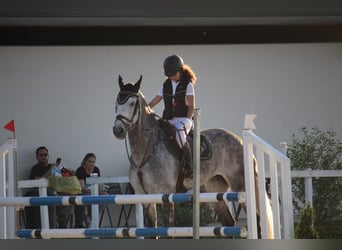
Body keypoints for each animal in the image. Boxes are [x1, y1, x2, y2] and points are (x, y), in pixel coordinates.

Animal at [113, 75, 274, 239]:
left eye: (132, 103)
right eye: (116, 103)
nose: (117, 130)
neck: (146, 149)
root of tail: (239, 139)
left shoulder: (166, 195)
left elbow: (169, 230)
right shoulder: (145, 198)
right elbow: (152, 231)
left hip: (240, 185)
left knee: (257, 220)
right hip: (214, 189)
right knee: (228, 222)